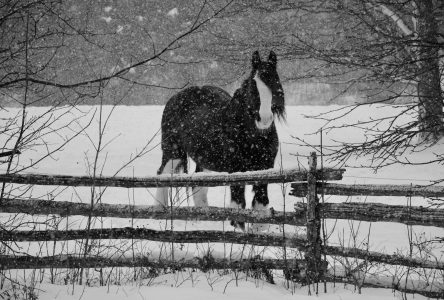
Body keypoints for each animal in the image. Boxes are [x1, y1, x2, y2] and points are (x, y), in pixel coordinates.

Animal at [156, 50, 286, 231]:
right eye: (253, 87)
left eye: (275, 82)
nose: (264, 119)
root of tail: (175, 98)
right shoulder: (236, 170)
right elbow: (238, 205)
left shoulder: (265, 168)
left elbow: (260, 203)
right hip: (172, 152)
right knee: (162, 175)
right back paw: (159, 214)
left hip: (203, 159)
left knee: (198, 185)